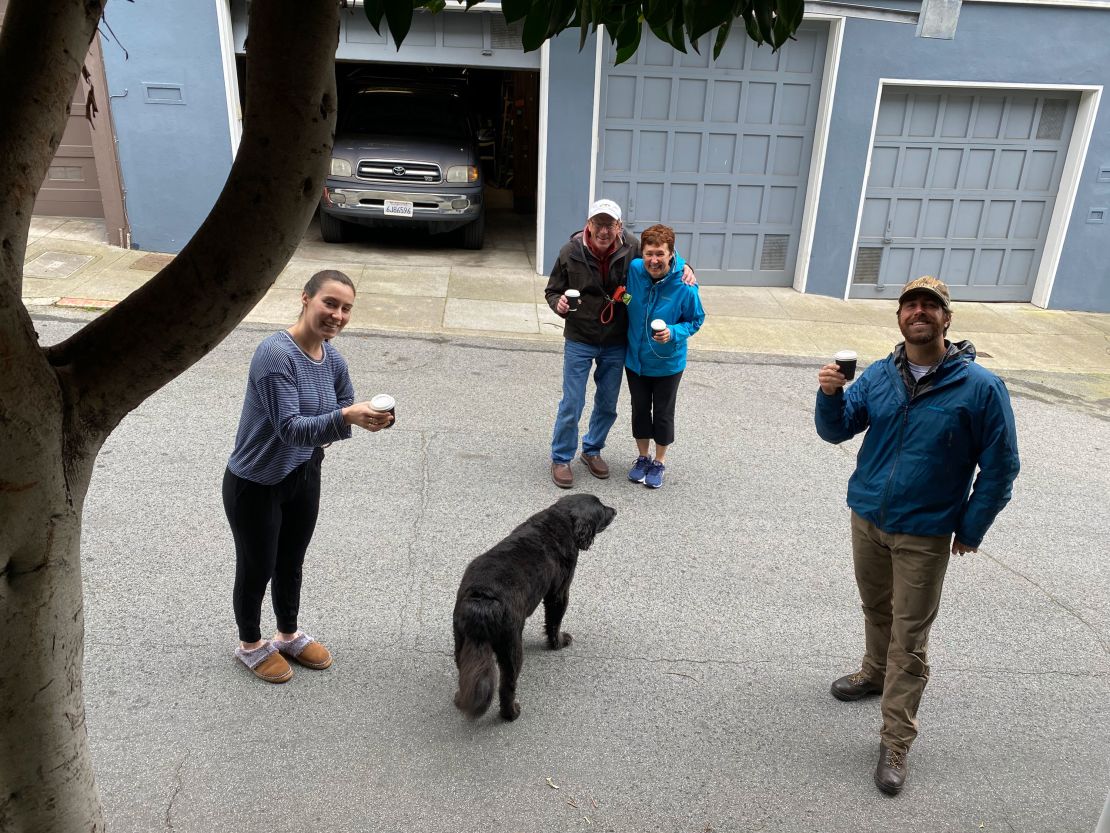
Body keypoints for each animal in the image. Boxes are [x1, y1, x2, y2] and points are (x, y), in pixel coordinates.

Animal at [455, 495, 621, 724]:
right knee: (507, 687)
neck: (561, 519)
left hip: (461, 640)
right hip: (512, 649)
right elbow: (554, 622)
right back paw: (511, 714)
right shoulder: (559, 593)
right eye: (602, 508)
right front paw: (559, 643)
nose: (615, 510)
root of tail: (483, 600)